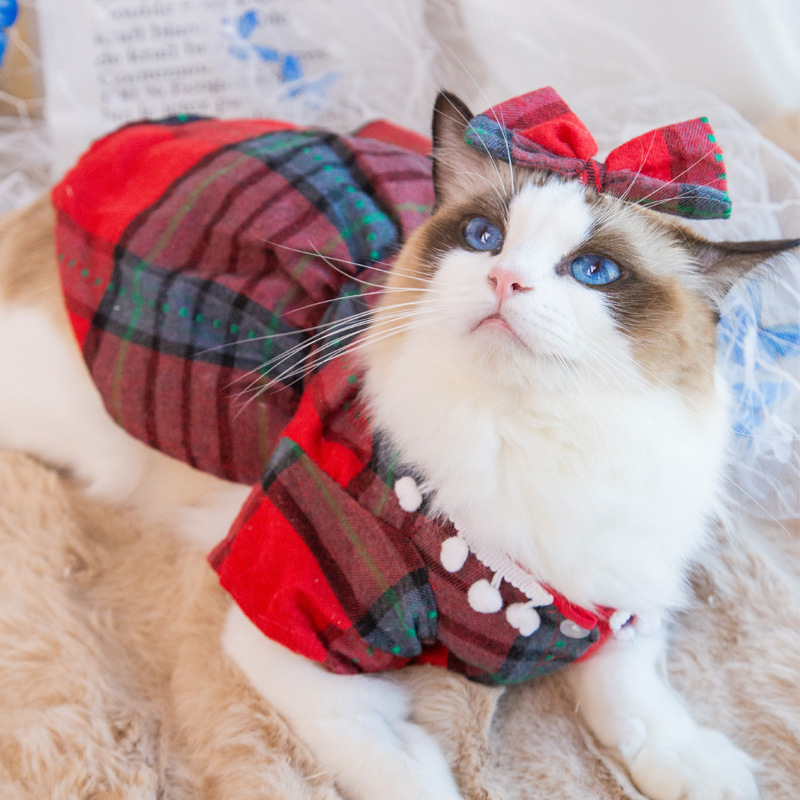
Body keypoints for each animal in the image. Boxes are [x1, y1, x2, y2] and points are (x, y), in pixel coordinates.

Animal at [0, 87, 796, 800]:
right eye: (483, 238)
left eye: (593, 272)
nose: (505, 280)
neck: (524, 438)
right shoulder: (287, 631)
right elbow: (402, 766)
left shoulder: (615, 599)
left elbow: (634, 699)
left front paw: (693, 766)